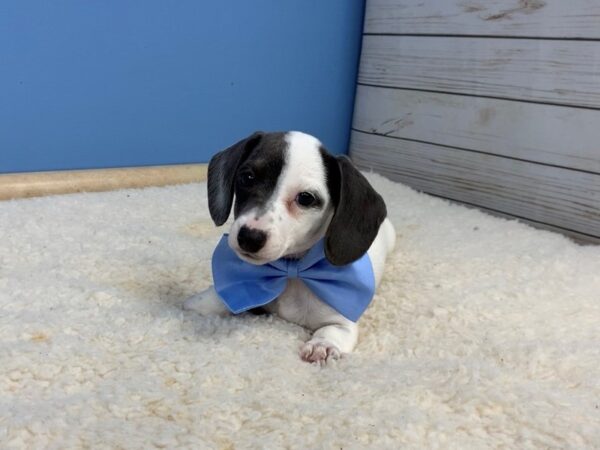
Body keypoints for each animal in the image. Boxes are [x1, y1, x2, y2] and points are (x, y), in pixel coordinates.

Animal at [185, 130, 396, 362]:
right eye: (247, 177)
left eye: (305, 198)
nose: (249, 237)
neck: (292, 270)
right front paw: (200, 303)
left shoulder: (342, 321)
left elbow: (331, 331)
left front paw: (322, 345)